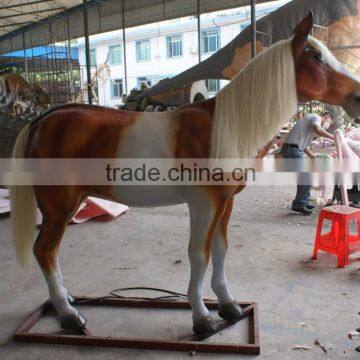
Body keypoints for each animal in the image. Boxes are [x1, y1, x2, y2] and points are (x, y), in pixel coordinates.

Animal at [9, 13, 360, 334]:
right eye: (316, 56)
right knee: (45, 251)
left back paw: (66, 300)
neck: (223, 127)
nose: (357, 95)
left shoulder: (224, 204)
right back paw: (69, 315)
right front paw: (202, 317)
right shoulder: (203, 204)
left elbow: (220, 251)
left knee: (50, 253)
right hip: (60, 207)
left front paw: (229, 306)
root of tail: (42, 120)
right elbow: (199, 255)